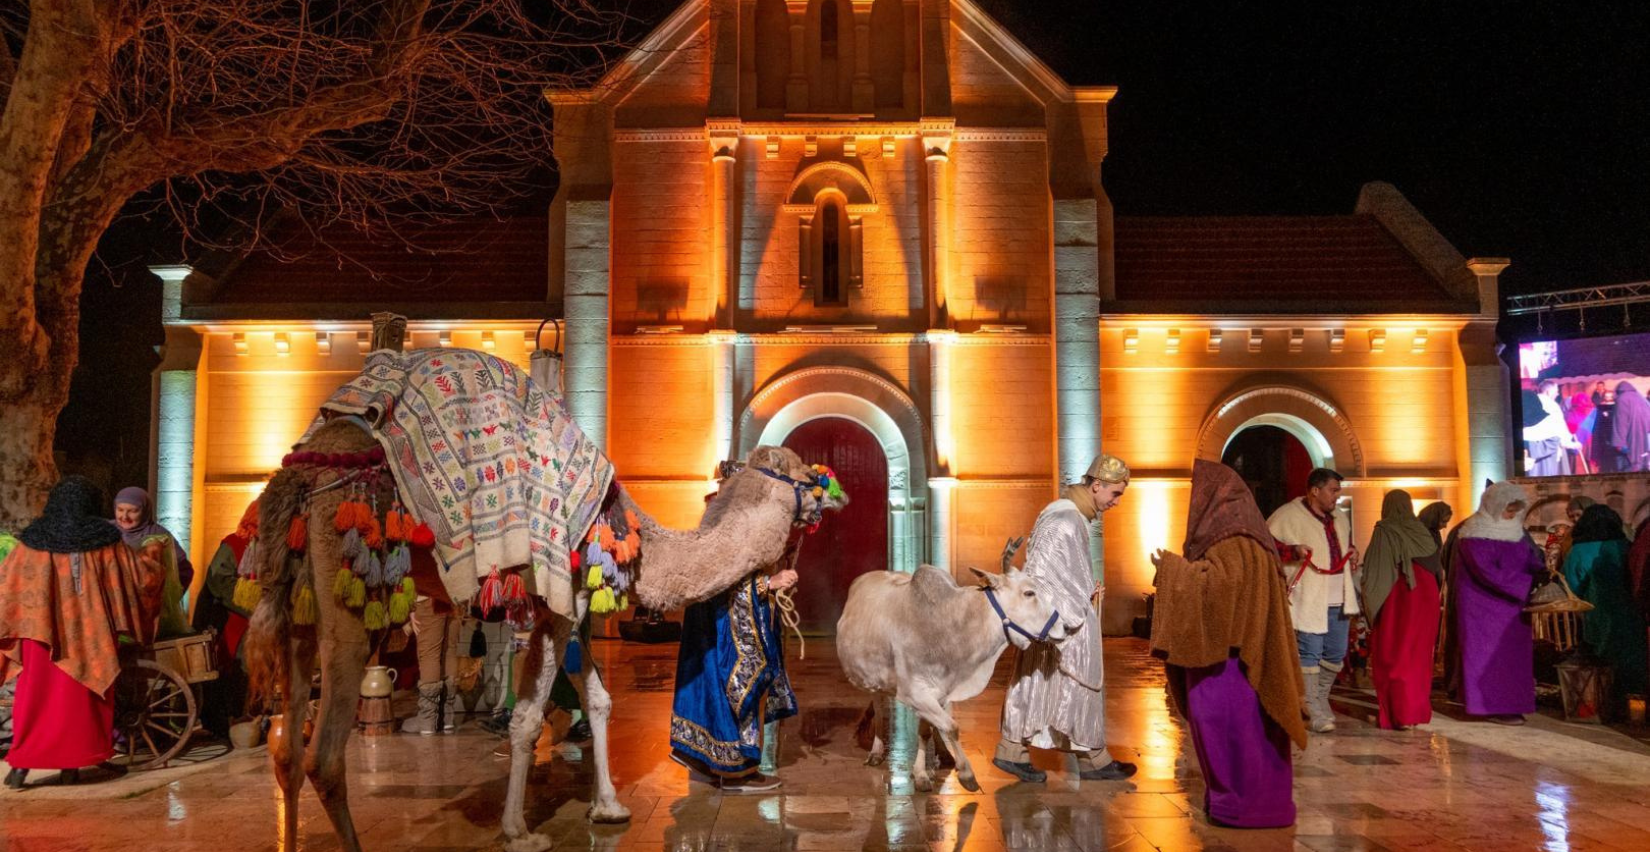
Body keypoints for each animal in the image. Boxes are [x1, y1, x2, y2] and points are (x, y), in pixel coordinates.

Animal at [244, 409, 851, 845]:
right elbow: (529, 715)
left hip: (299, 594)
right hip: (348, 583)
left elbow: (600, 699)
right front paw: (519, 832)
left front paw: (609, 807)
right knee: (323, 755)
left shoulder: (577, 603)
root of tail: (299, 472)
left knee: (287, 750)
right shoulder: (560, 600)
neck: (640, 543)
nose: (833, 496)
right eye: (806, 475)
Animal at [831, 551, 1075, 792]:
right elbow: (951, 727)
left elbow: (928, 730)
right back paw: (877, 750)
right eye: (1029, 592)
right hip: (872, 680)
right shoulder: (914, 693)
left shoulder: (938, 692)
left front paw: (922, 773)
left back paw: (943, 754)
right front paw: (966, 774)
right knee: (879, 704)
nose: (1065, 627)